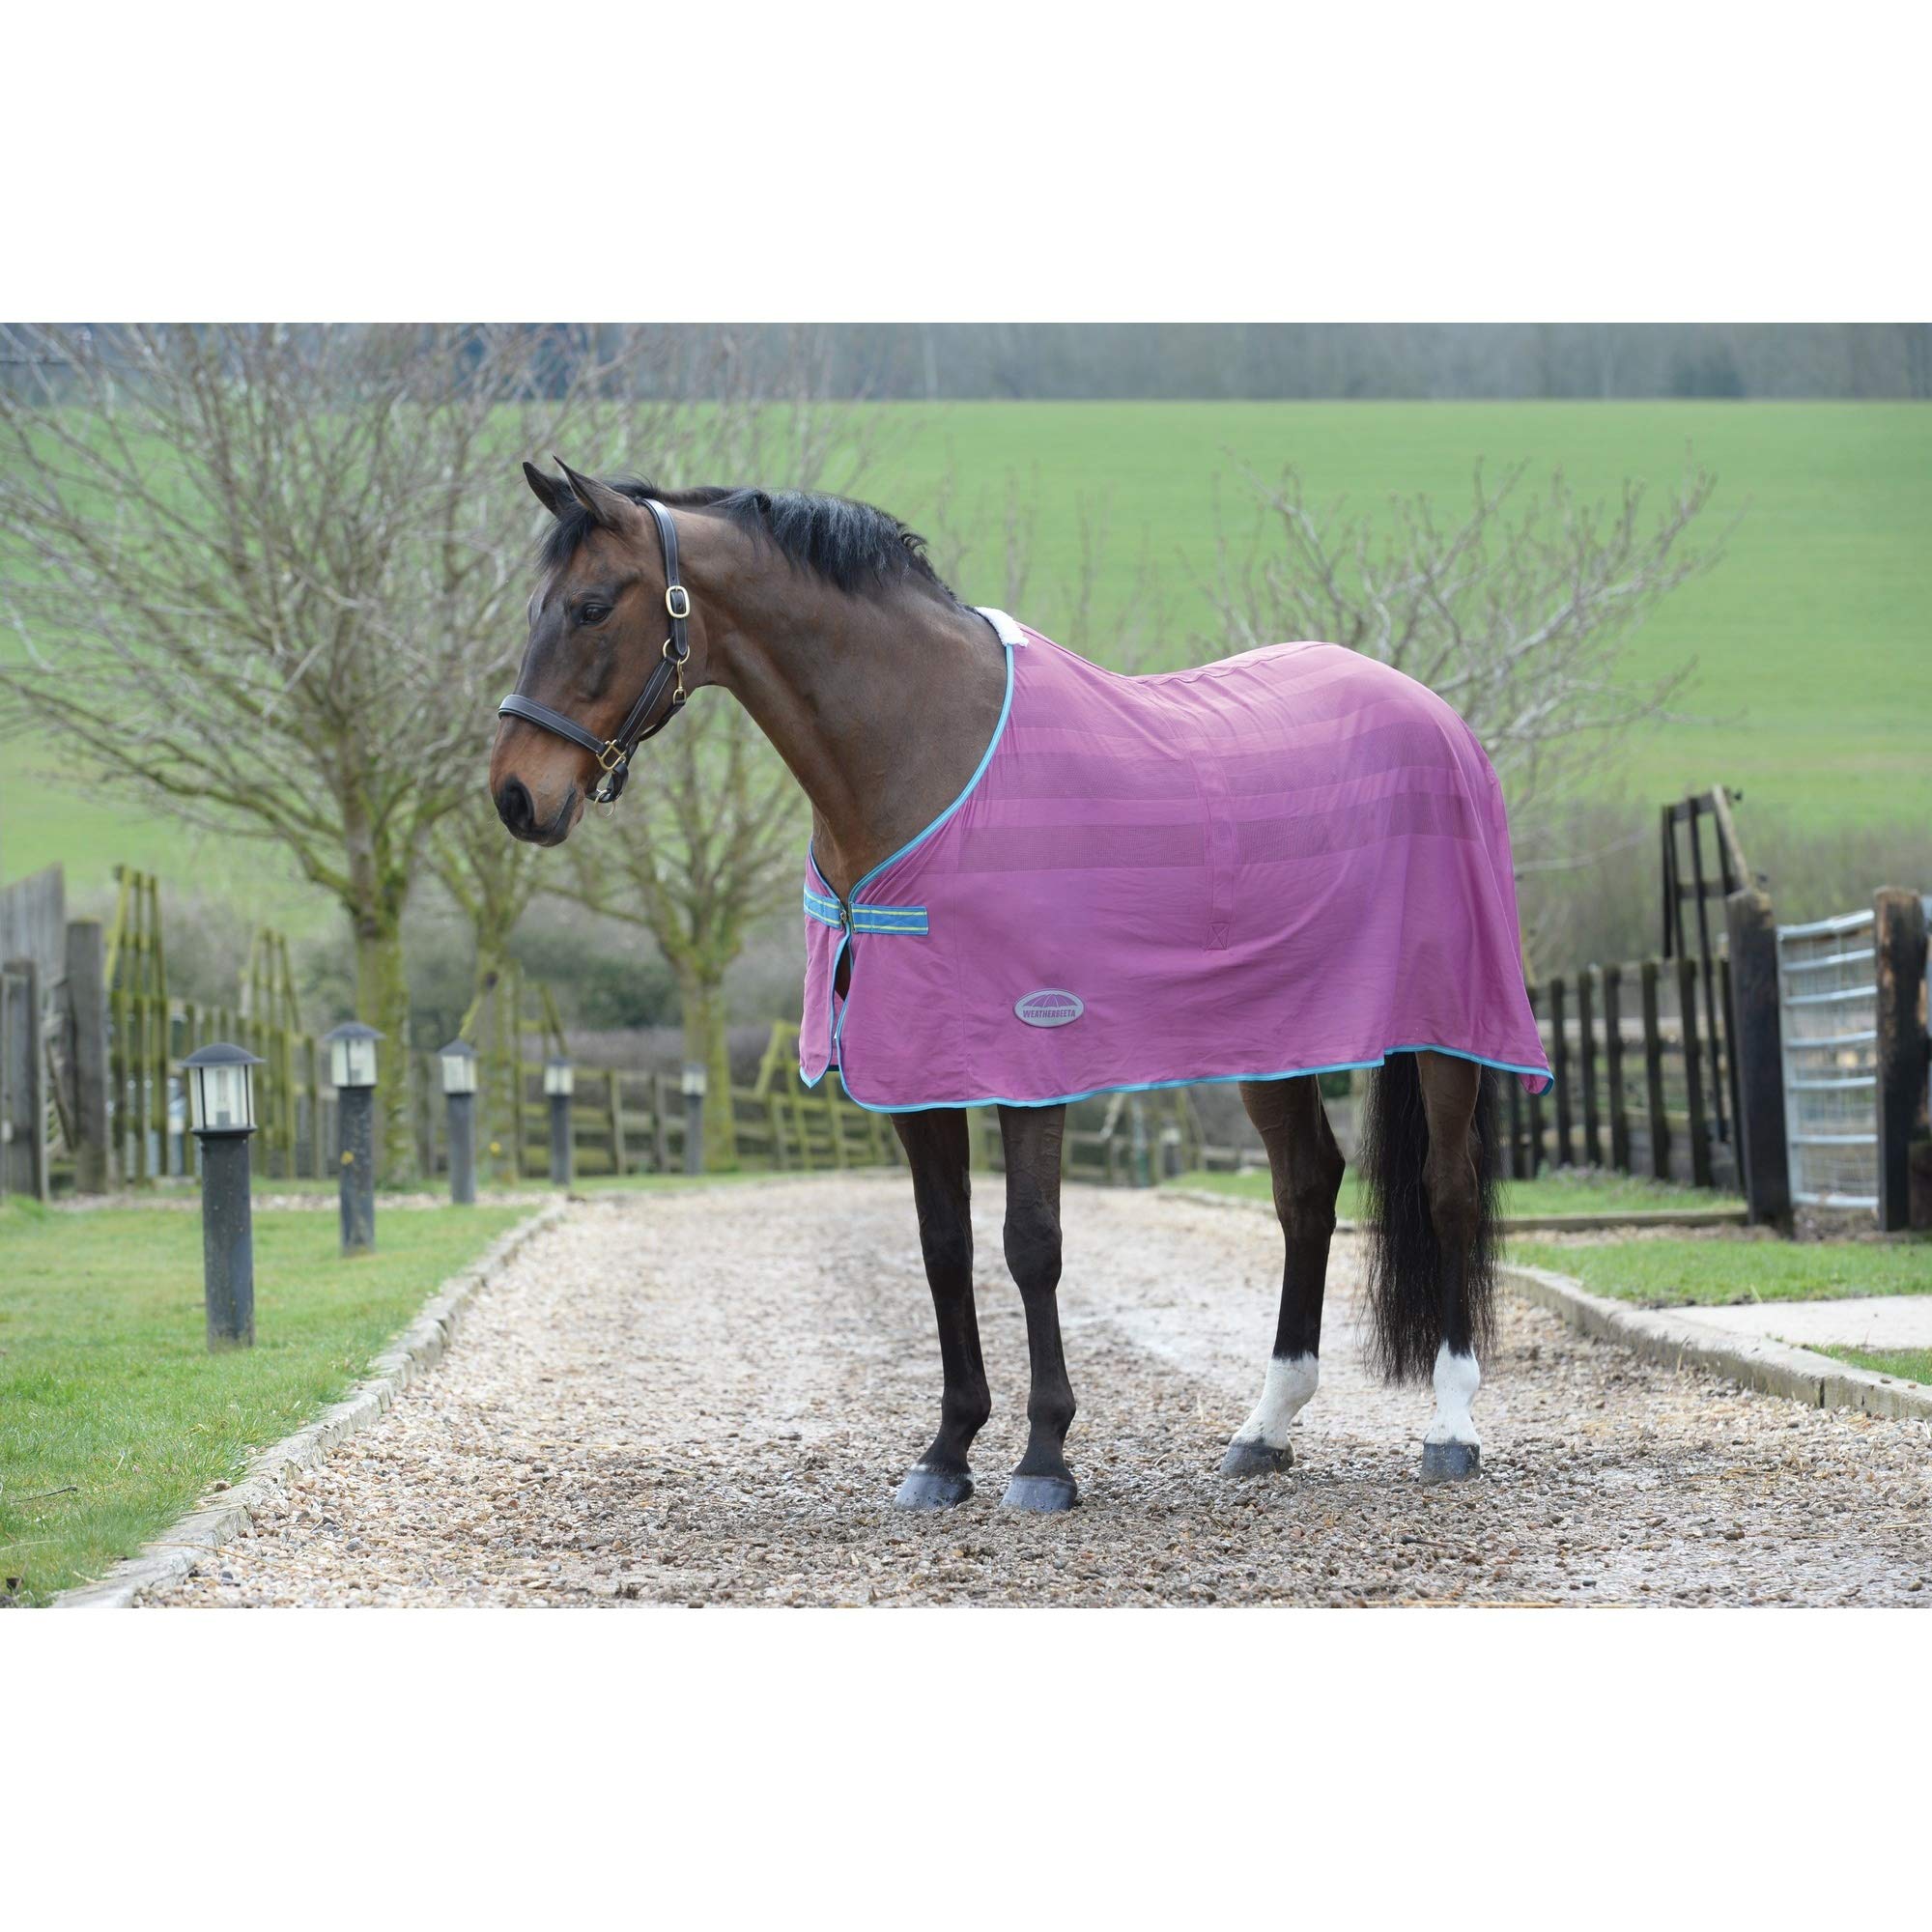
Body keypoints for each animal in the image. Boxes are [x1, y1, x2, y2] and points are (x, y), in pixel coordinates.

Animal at [490, 461, 1551, 1513]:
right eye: (537, 605)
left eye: (590, 607)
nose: (514, 795)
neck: (920, 751)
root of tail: (1433, 715)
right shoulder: (912, 1063)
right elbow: (944, 1246)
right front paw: (947, 1451)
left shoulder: (1032, 1053)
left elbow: (1030, 1242)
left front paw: (1044, 1458)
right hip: (1275, 1036)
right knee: (1306, 1188)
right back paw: (1266, 1426)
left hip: (1448, 1027)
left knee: (1447, 1191)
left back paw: (1450, 1428)